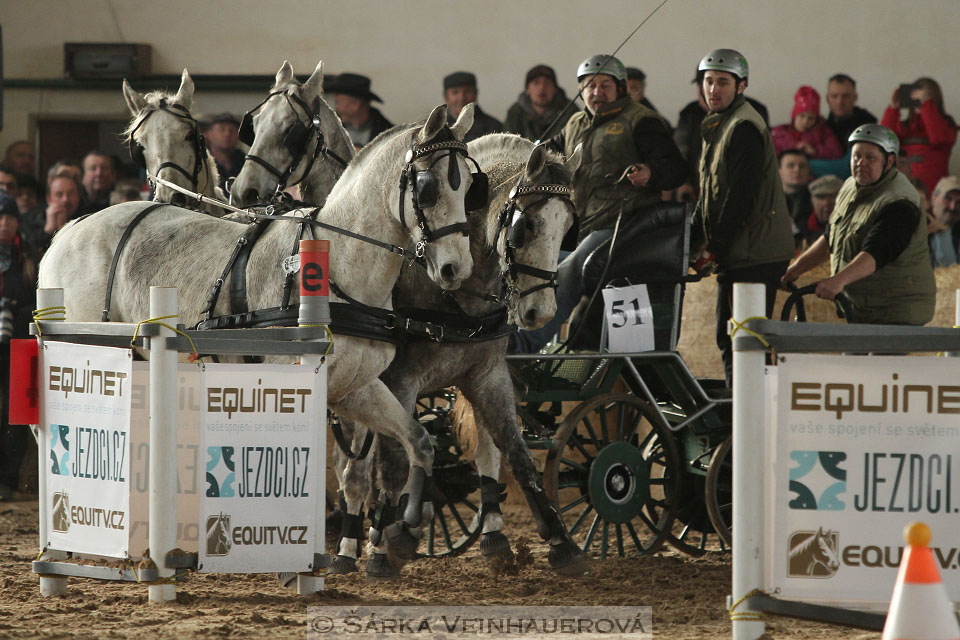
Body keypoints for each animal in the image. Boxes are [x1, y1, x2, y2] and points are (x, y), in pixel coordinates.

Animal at [39, 102, 480, 532]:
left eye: (469, 188)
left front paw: (409, 517)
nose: (456, 269)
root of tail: (71, 228)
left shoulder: (355, 386)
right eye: (427, 187)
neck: (339, 265)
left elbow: (418, 441)